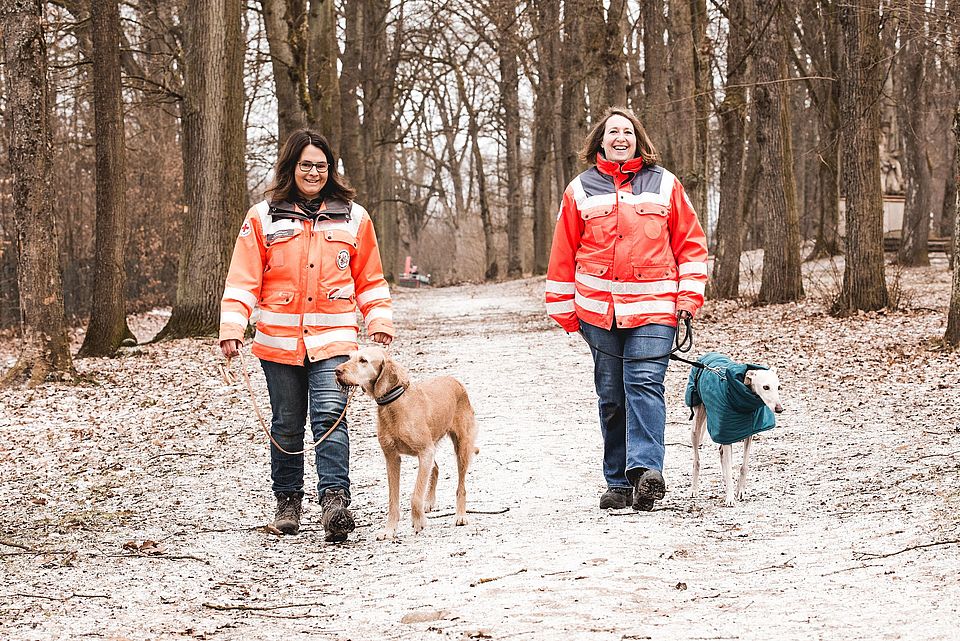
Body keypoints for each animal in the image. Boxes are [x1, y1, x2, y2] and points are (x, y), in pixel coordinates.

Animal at [336, 348, 478, 536]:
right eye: (349, 357)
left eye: (363, 360)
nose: (336, 370)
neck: (394, 404)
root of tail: (455, 381)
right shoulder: (392, 458)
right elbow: (393, 500)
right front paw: (389, 530)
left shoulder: (425, 452)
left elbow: (415, 495)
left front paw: (419, 522)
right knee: (436, 468)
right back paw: (429, 502)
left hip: (462, 447)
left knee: (461, 486)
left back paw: (460, 515)